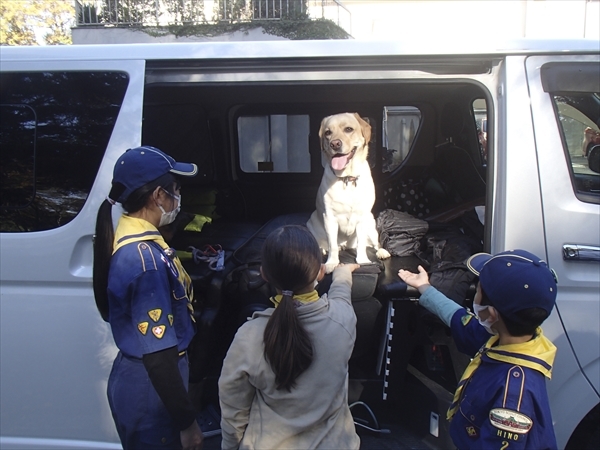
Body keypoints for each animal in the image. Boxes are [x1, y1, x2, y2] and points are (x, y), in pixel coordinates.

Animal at [308, 114, 392, 272]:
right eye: (327, 132)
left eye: (348, 129)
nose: (335, 144)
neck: (347, 178)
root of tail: (345, 245)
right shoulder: (329, 217)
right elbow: (332, 245)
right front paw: (331, 263)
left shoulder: (362, 216)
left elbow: (361, 244)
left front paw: (363, 260)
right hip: (311, 223)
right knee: (326, 244)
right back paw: (323, 249)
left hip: (371, 223)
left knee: (375, 243)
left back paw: (382, 251)